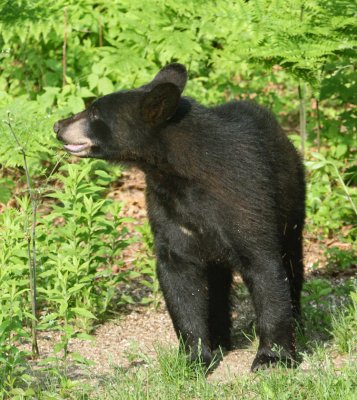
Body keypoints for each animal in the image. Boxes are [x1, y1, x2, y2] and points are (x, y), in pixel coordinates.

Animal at [54, 63, 304, 372]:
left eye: (95, 112)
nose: (58, 126)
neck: (181, 174)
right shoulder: (168, 207)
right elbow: (179, 276)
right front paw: (195, 356)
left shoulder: (244, 196)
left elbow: (265, 268)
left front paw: (273, 358)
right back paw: (219, 339)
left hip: (292, 200)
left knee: (291, 258)